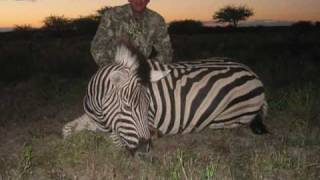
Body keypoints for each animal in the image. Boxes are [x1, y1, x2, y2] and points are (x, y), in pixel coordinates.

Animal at [62, 43, 268, 154]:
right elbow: (66, 130)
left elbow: (112, 140)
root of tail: (252, 72)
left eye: (148, 107)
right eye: (126, 107)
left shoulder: (144, 123)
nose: (145, 148)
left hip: (230, 117)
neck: (100, 113)